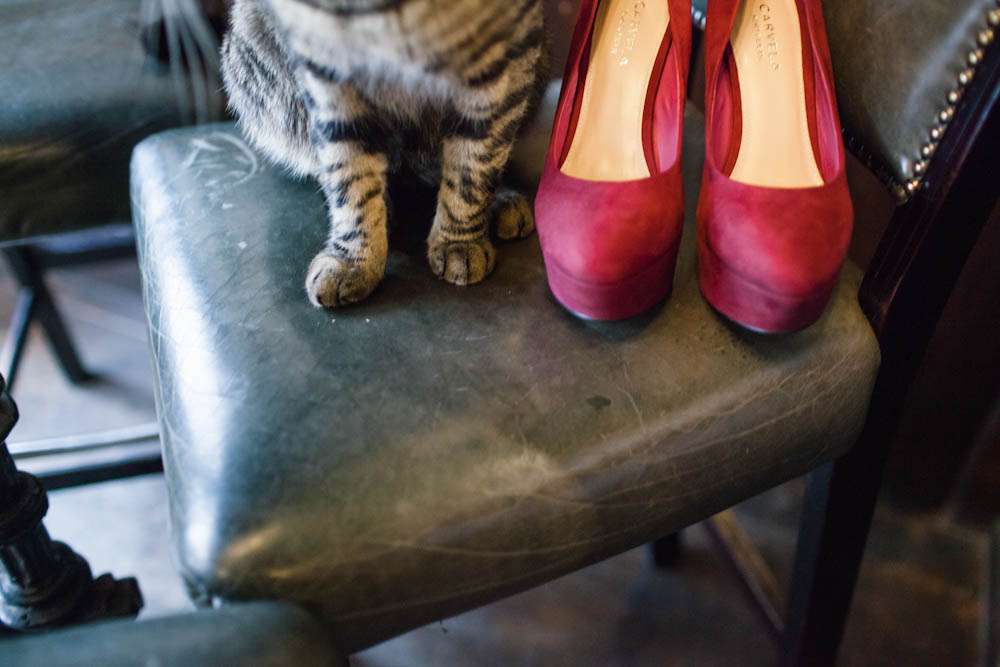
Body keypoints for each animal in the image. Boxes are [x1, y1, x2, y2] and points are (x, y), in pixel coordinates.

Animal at [220, 0, 546, 308]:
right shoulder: (323, 61)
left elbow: (476, 162)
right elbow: (348, 172)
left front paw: (459, 239)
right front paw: (354, 259)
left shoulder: (506, 52)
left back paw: (499, 199)